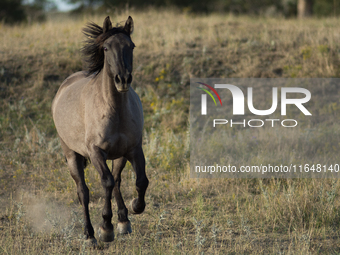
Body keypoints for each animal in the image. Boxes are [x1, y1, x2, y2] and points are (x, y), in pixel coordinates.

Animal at [51, 16, 149, 245]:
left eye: (131, 46)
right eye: (105, 48)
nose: (123, 80)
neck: (114, 109)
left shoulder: (133, 149)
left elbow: (141, 180)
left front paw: (135, 207)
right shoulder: (96, 152)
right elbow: (107, 182)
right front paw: (105, 227)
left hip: (119, 155)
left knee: (118, 180)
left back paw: (123, 221)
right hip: (72, 156)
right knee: (84, 192)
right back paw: (89, 235)